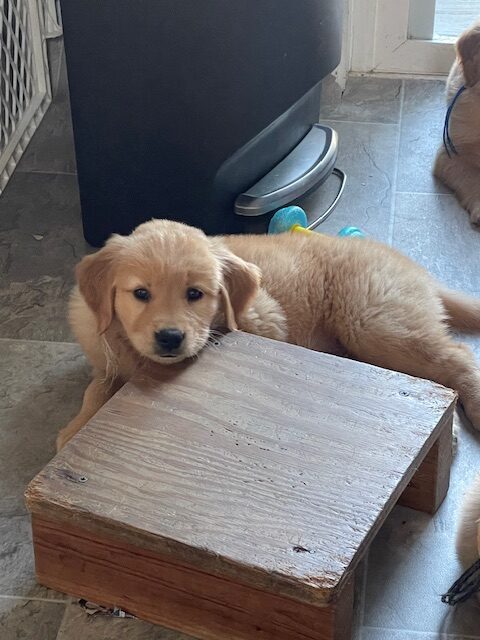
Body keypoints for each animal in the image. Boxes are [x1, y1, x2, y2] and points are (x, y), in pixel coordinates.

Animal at [57, 220, 480, 450]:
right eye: (140, 294)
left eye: (195, 294)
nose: (170, 338)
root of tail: (418, 270)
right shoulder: (106, 357)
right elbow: (96, 389)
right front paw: (76, 427)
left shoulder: (266, 318)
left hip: (372, 321)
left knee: (457, 357)